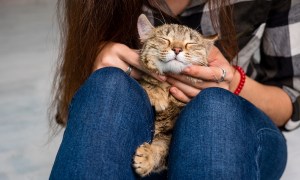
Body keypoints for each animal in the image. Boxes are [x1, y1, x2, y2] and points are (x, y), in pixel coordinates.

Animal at [133, 14, 216, 177]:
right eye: (165, 39)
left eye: (190, 43)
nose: (177, 49)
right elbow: (146, 81)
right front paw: (157, 94)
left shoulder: (169, 134)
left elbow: (162, 148)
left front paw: (148, 156)